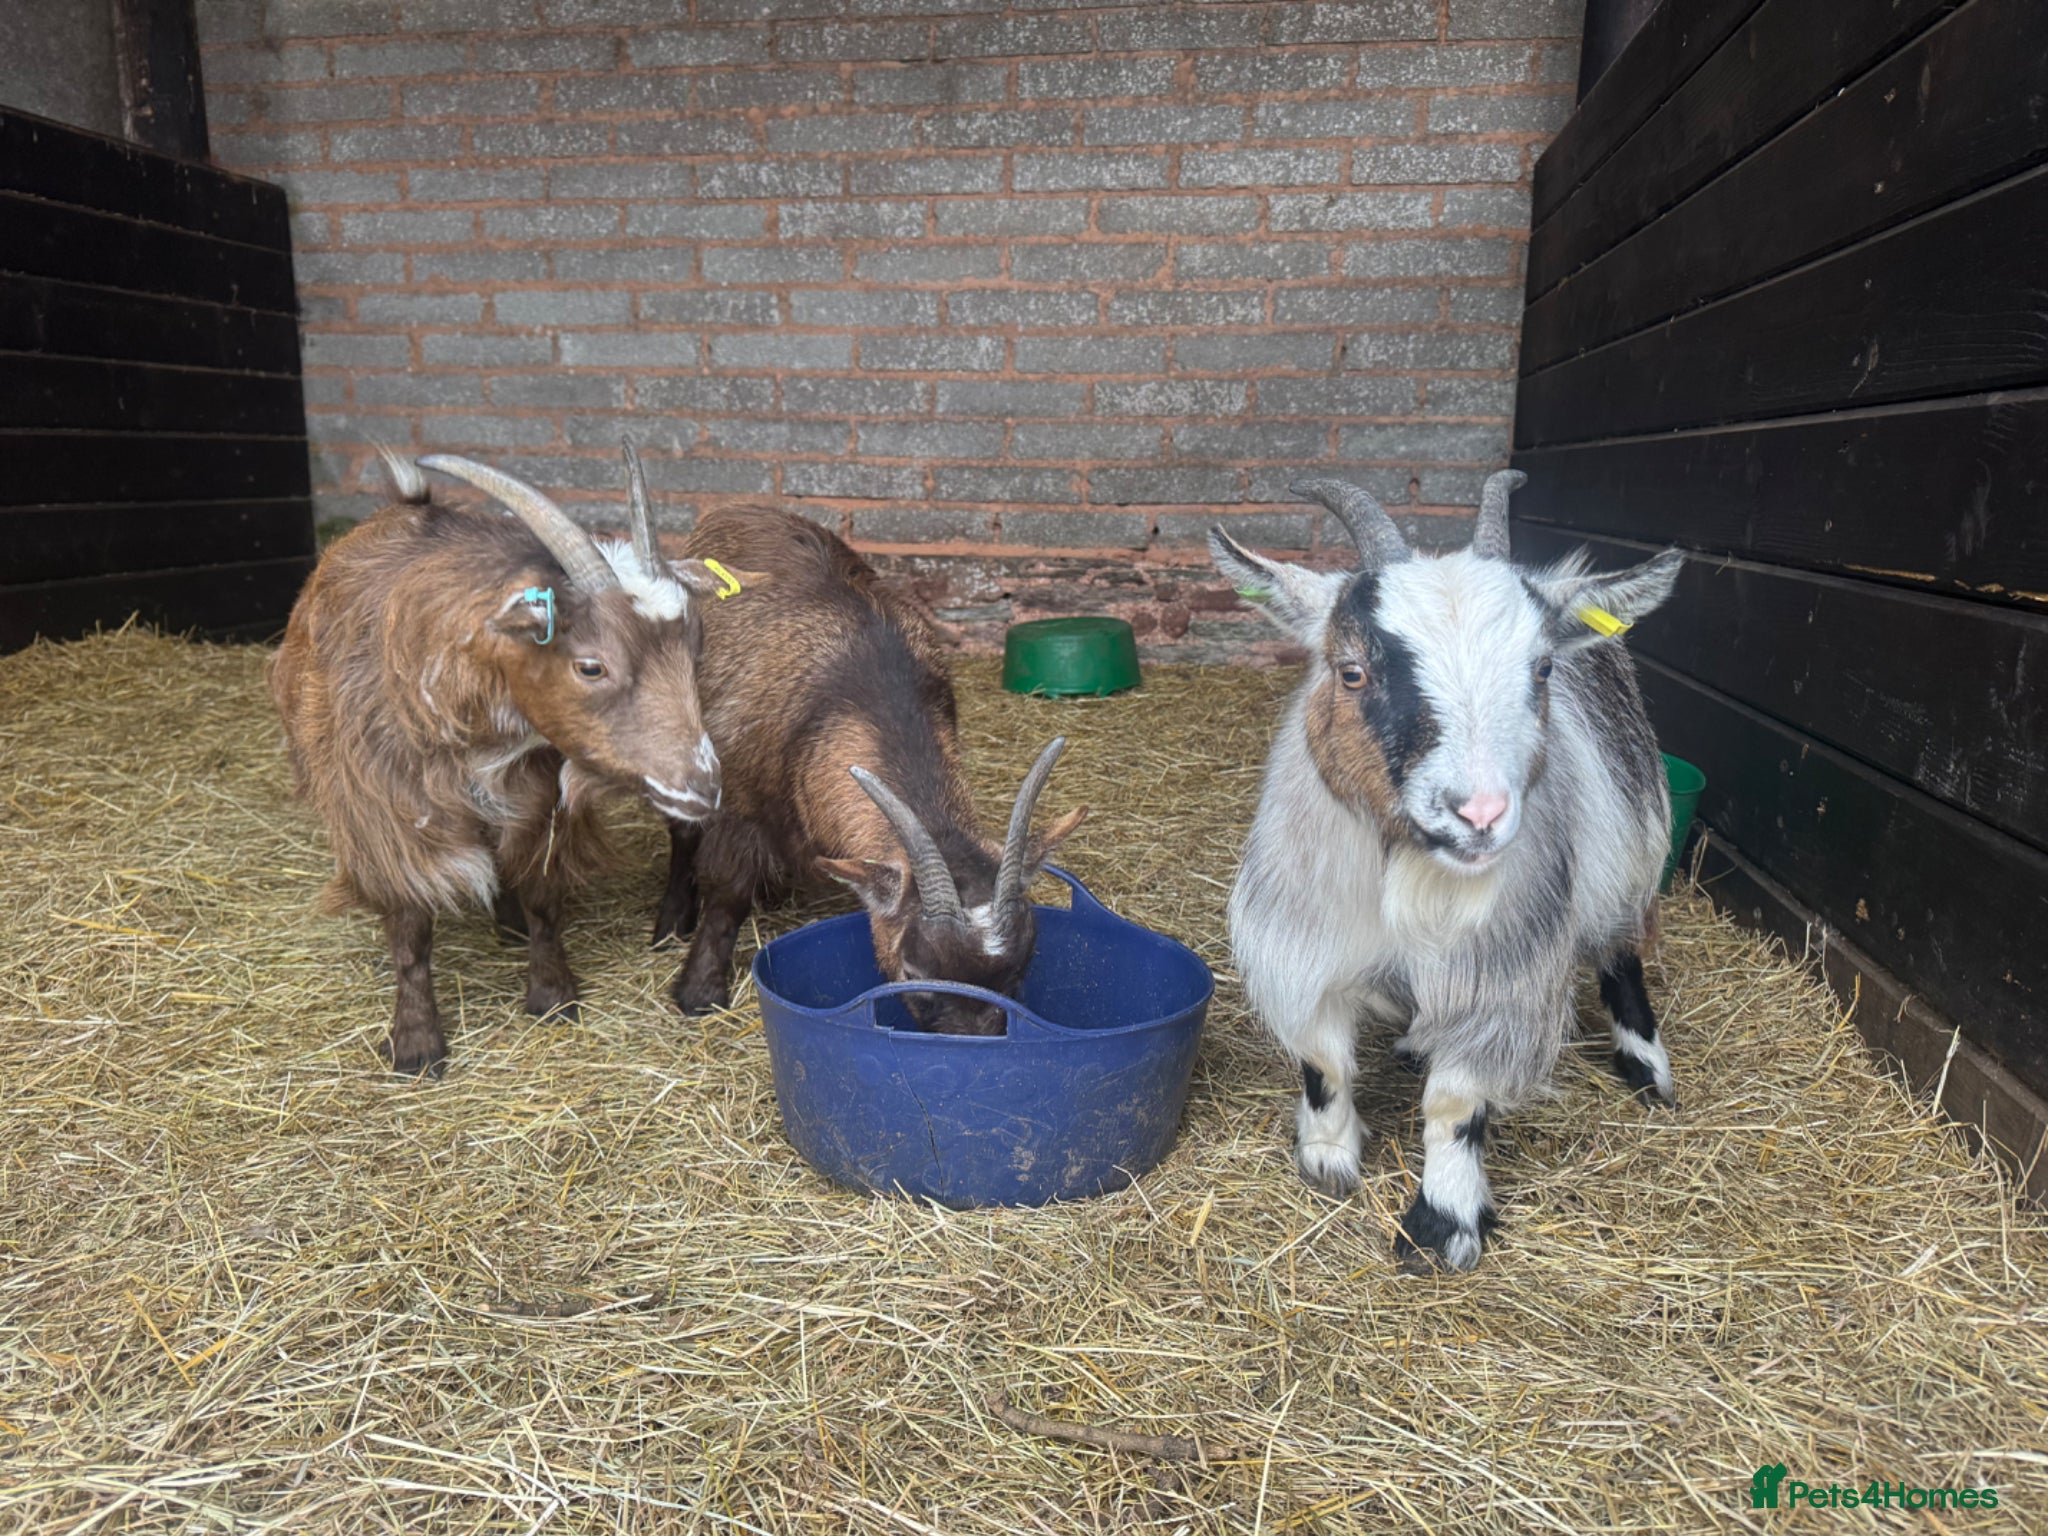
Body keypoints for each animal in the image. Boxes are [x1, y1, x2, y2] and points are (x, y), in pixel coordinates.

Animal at [271, 446, 757, 1077]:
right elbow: (409, 930)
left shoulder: (536, 795)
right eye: (591, 666)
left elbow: (542, 896)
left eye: (694, 649)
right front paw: (417, 1045)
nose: (703, 784)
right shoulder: (386, 813)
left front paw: (552, 995)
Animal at [644, 490, 1087, 1033]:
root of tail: (739, 508)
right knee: (683, 830)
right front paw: (700, 992)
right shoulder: (739, 799)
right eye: (913, 970)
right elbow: (726, 890)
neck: (860, 685)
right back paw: (672, 920)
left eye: (1024, 966)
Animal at [1209, 471, 1683, 1270]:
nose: (1480, 813)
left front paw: (1442, 1223)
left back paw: (1648, 1069)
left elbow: (1457, 1102)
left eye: (1542, 668)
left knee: (1622, 955)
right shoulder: (1305, 945)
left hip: (1629, 854)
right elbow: (1322, 1061)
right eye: (1351, 670)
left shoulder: (1499, 974)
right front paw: (1328, 1156)